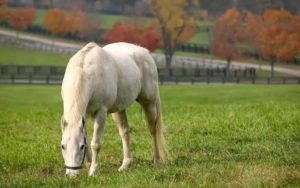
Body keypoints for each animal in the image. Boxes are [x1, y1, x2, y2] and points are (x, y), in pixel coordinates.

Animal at [60, 42, 168, 176]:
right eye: (63, 146)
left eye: (81, 147)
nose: (72, 174)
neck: (85, 71)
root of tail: (146, 52)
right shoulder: (83, 115)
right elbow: (87, 138)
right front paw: (89, 164)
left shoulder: (100, 113)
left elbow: (95, 143)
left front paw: (93, 170)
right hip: (119, 109)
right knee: (125, 132)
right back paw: (126, 165)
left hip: (149, 103)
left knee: (153, 130)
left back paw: (156, 161)